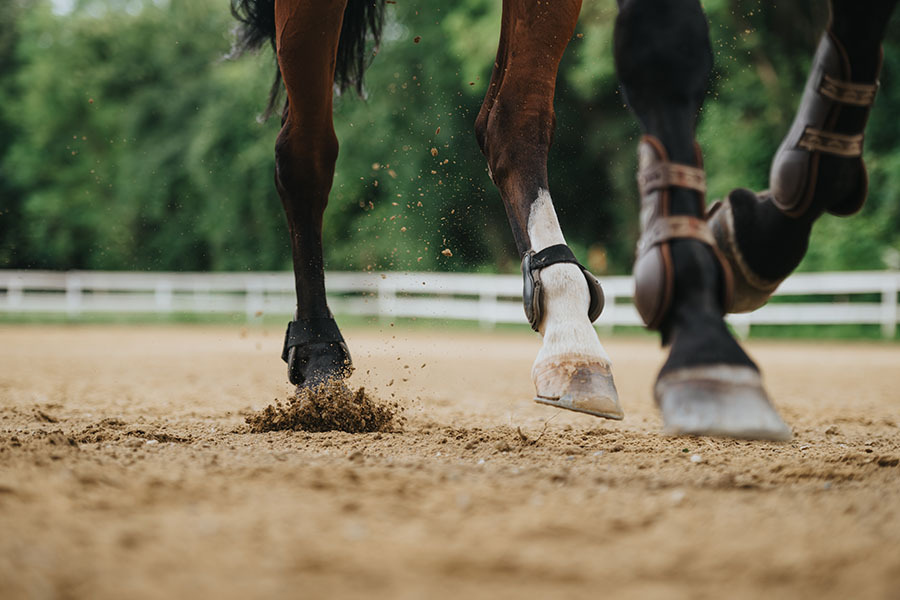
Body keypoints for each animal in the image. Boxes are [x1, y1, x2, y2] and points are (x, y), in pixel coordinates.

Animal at [229, 0, 897, 441]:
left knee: (505, 119)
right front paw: (705, 345)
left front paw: (753, 236)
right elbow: (666, 45)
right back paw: (321, 360)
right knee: (305, 154)